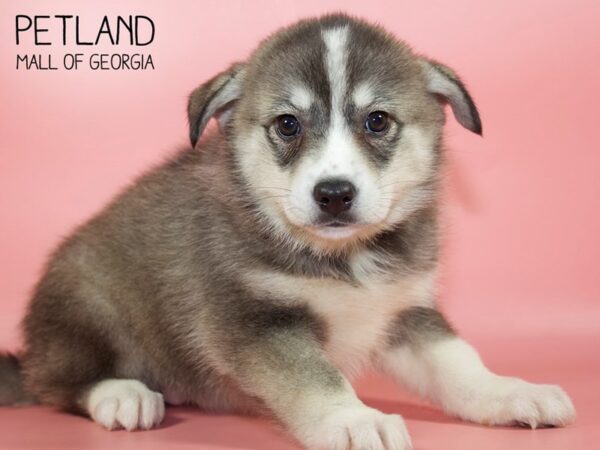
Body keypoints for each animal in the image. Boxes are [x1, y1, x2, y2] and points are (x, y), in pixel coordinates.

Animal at [0, 14, 576, 450]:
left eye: (377, 120)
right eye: (288, 124)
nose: (334, 193)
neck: (345, 259)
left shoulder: (405, 312)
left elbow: (459, 364)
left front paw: (510, 392)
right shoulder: (257, 322)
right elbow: (316, 378)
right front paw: (354, 420)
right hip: (86, 301)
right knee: (59, 382)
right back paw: (124, 395)